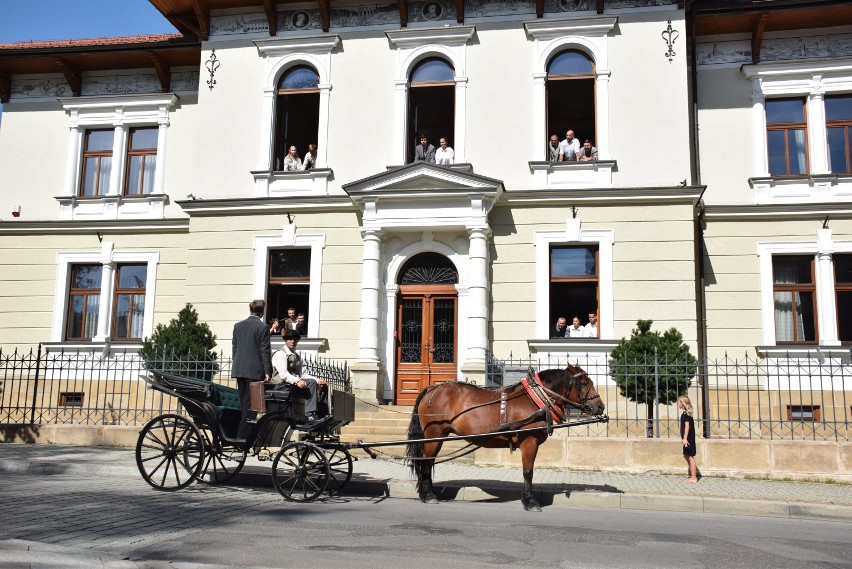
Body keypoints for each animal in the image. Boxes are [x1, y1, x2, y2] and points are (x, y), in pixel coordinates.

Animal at [406, 366, 604, 512]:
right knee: (425, 464)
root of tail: (432, 389)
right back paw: (429, 495)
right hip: (433, 436)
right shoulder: (529, 442)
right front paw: (530, 501)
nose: (600, 406)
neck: (536, 400)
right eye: (584, 383)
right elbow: (528, 472)